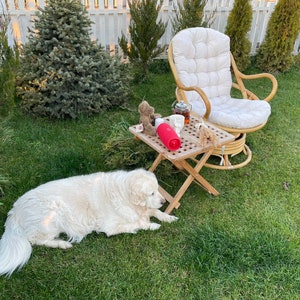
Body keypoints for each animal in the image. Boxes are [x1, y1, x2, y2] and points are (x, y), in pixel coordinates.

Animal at [0, 169, 178, 276]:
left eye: (158, 189)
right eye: (151, 193)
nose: (163, 201)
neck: (124, 194)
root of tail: (14, 210)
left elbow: (154, 212)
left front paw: (168, 217)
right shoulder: (111, 227)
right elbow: (139, 223)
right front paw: (153, 225)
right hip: (53, 214)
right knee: (35, 240)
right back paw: (62, 244)